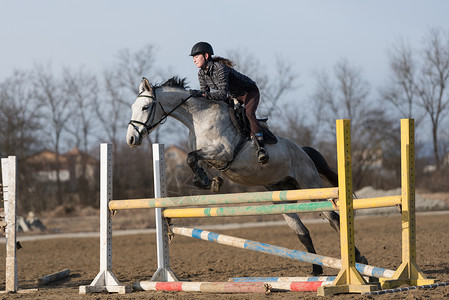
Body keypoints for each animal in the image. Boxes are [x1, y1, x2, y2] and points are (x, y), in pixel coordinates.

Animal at [126, 77, 368, 274]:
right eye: (133, 107)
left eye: (145, 107)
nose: (131, 139)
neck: (199, 118)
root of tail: (303, 151)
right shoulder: (210, 157)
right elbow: (193, 161)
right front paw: (210, 182)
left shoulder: (222, 152)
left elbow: (190, 158)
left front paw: (209, 182)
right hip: (280, 197)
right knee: (302, 231)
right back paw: (316, 270)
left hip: (311, 189)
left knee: (334, 219)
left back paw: (358, 261)